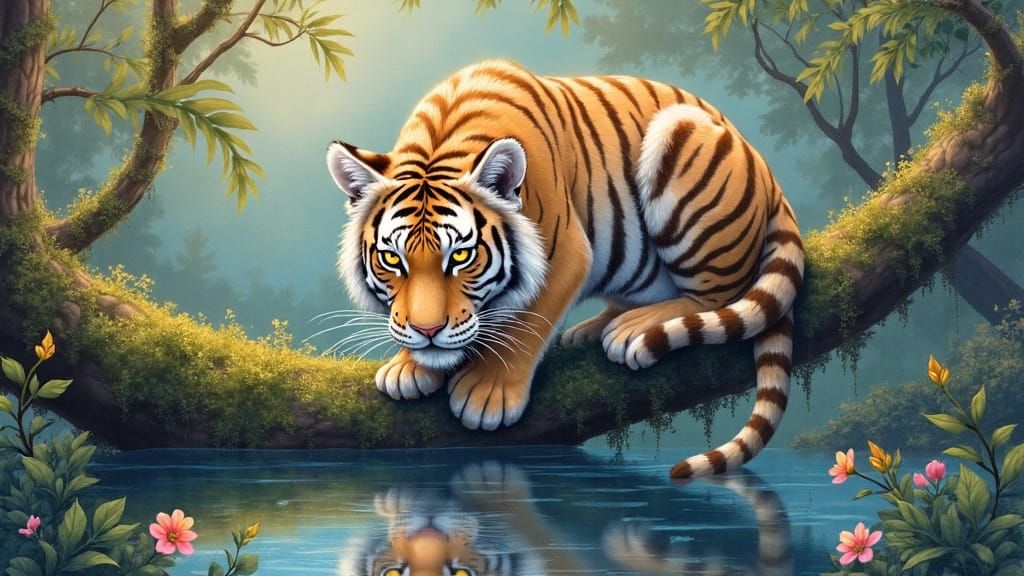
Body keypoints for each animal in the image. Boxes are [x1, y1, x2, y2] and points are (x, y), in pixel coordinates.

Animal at [325, 59, 804, 478]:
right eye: (392, 259)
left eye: (461, 256)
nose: (426, 332)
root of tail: (768, 173)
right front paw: (410, 366)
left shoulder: (567, 252)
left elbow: (527, 323)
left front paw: (487, 392)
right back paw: (593, 328)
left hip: (681, 139)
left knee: (717, 294)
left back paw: (631, 329)